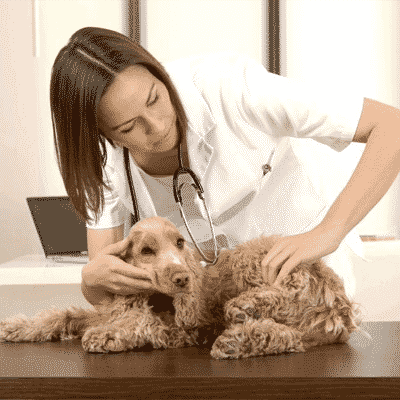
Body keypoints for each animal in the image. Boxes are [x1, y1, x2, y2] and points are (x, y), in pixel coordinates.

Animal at [0, 217, 360, 358]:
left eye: (180, 242)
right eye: (147, 250)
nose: (182, 278)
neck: (156, 298)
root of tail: (341, 309)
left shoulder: (178, 329)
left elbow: (143, 323)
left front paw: (106, 336)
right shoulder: (108, 309)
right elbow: (62, 315)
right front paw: (15, 327)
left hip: (261, 262)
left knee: (275, 302)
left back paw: (243, 311)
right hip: (306, 329)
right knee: (286, 337)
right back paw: (236, 338)